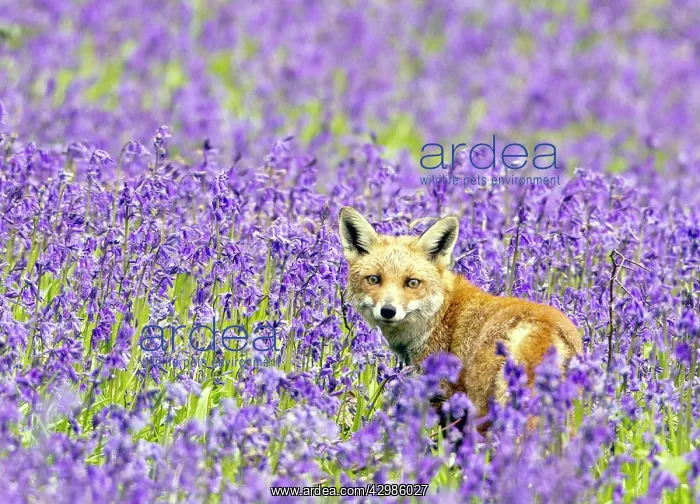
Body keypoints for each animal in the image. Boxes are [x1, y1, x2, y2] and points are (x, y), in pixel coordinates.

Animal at [338, 206, 583, 426]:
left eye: (412, 282)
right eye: (374, 279)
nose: (388, 310)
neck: (441, 314)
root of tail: (544, 327)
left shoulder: (444, 396)